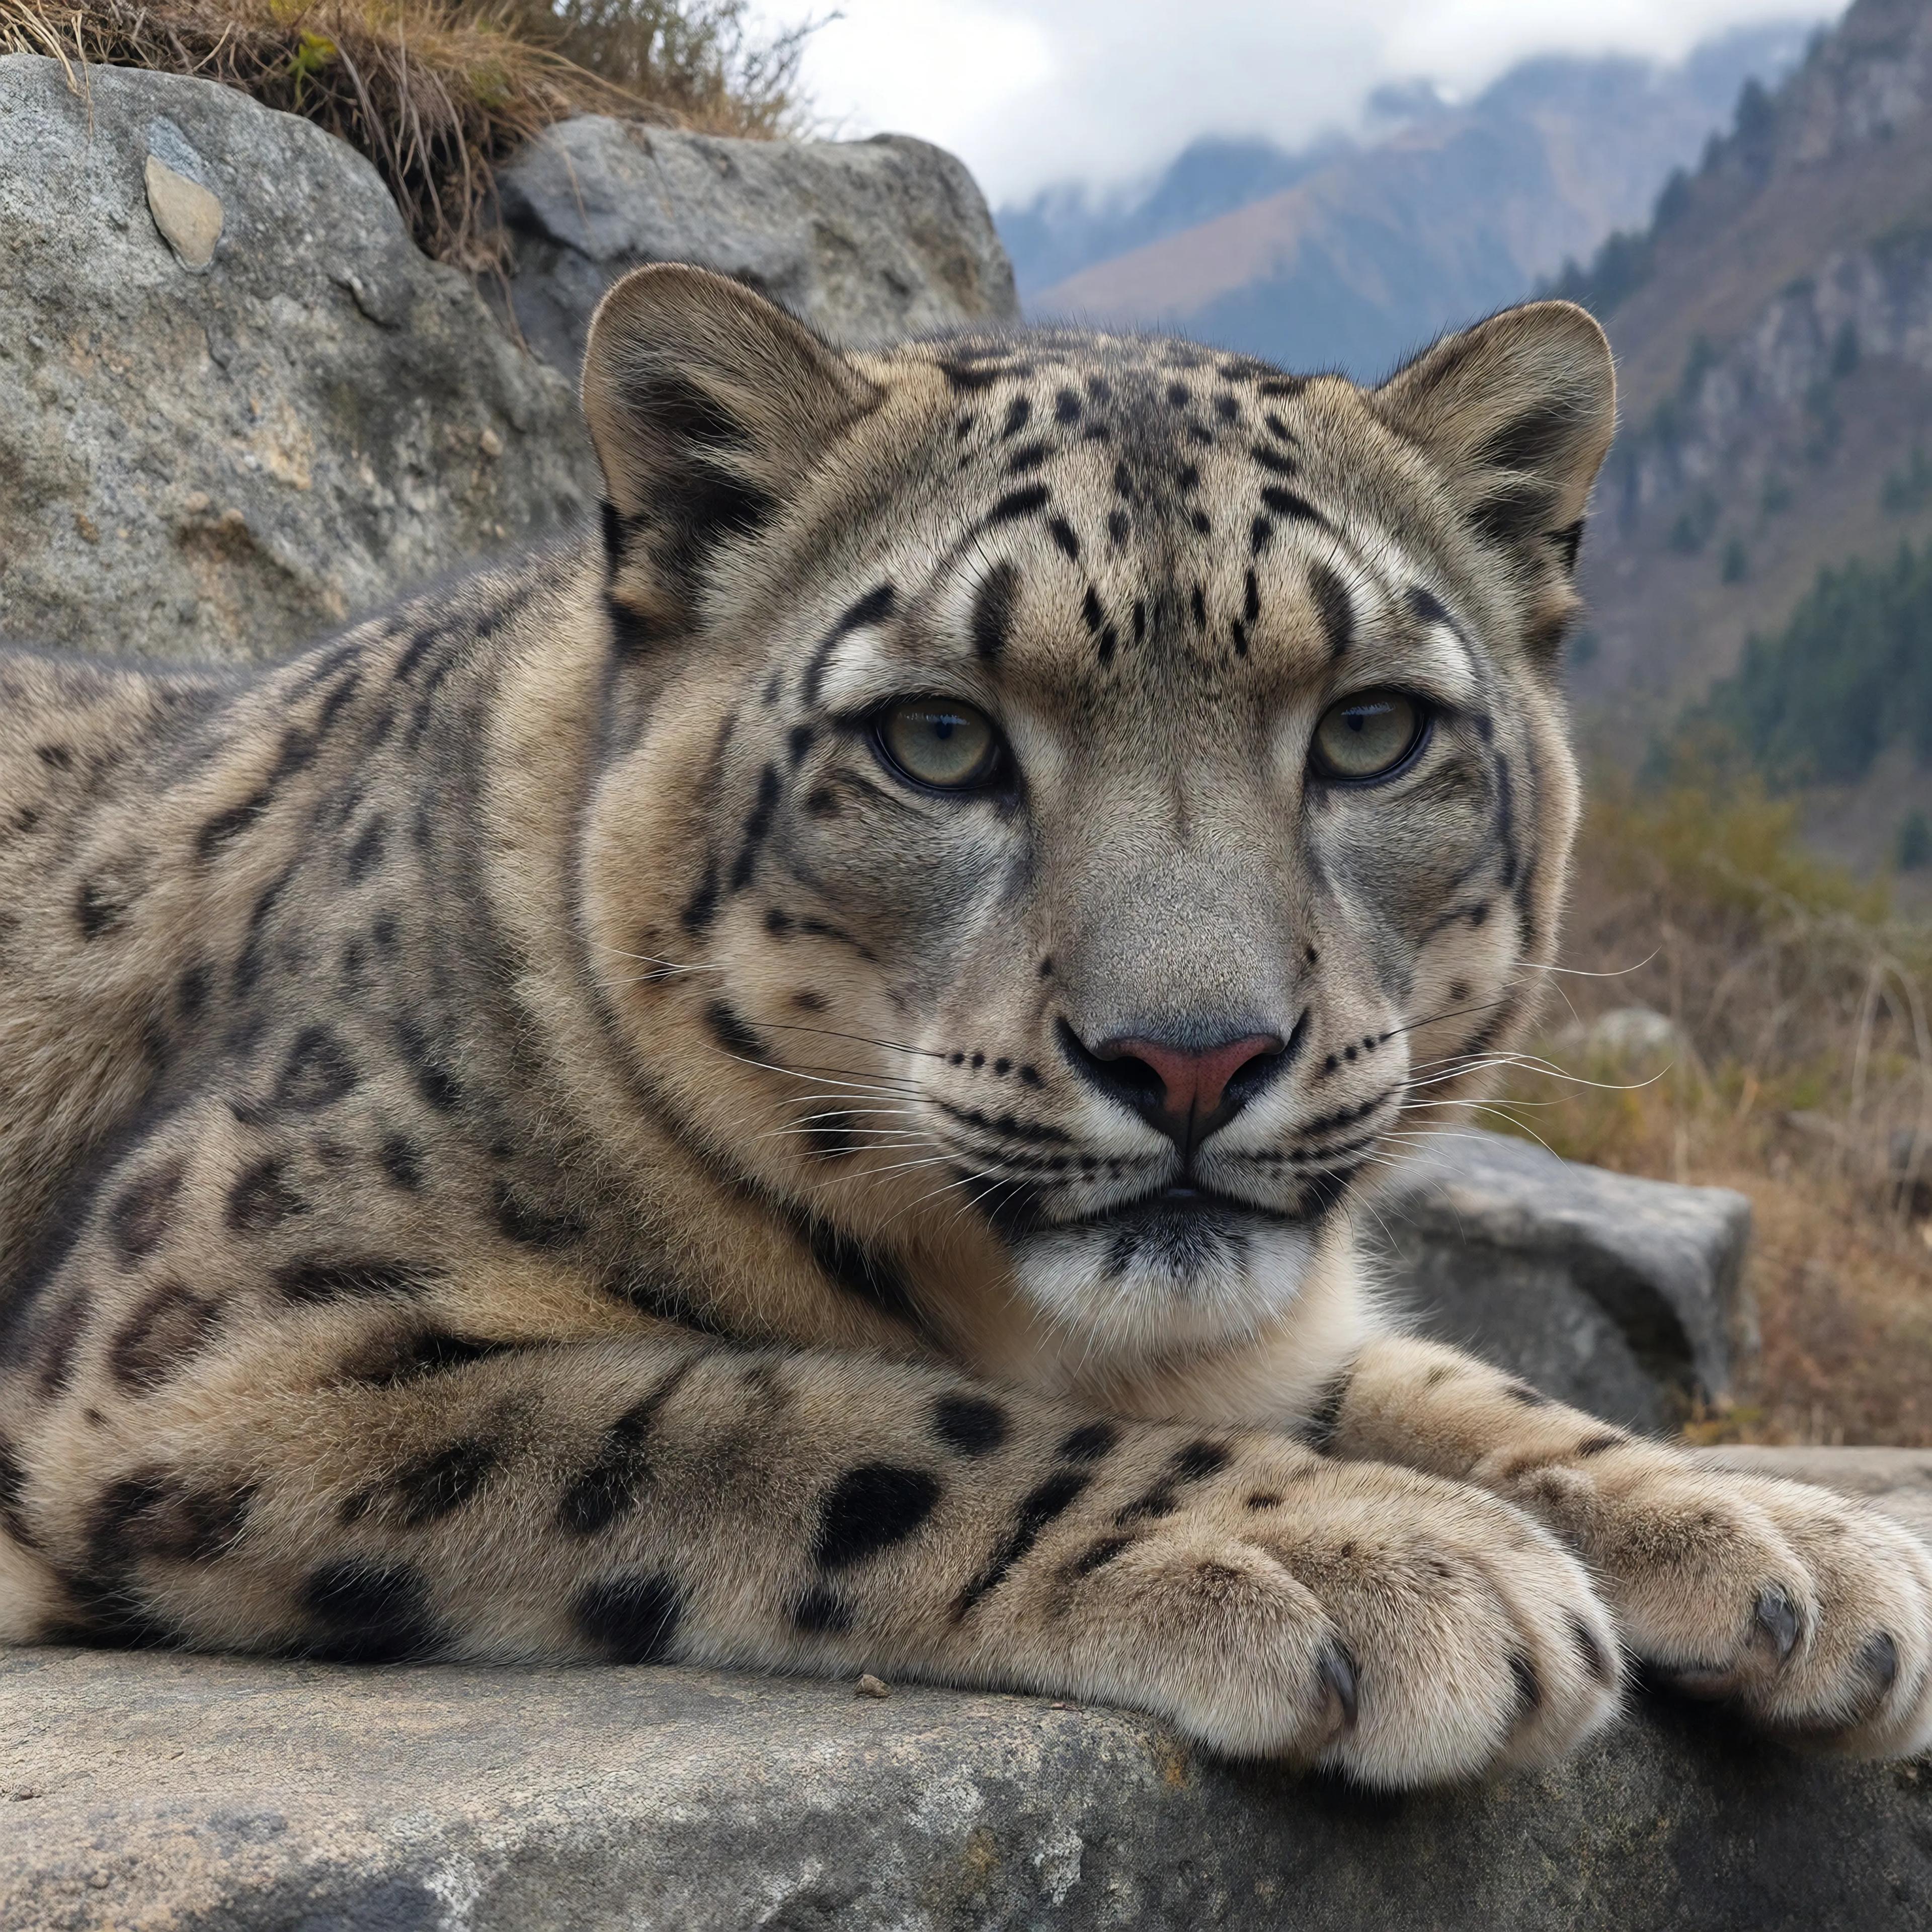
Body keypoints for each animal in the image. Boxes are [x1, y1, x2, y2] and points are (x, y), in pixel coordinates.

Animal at [1, 263, 1927, 1790]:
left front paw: (1782, 1535)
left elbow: (1438, 1373)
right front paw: (1376, 1550)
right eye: (937, 740)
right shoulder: (215, 1356)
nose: (1194, 1056)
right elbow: (798, 1411)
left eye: (1372, 730)